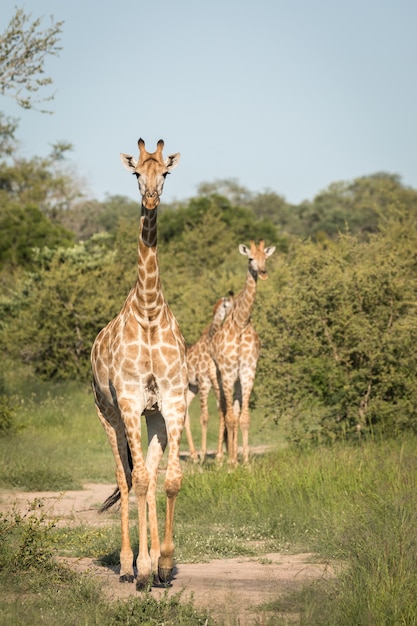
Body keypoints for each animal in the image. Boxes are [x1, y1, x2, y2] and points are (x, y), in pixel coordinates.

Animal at [185, 292, 234, 458]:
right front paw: (204, 454)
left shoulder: (215, 382)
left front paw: (220, 455)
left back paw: (193, 455)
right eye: (228, 305)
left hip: (191, 388)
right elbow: (205, 417)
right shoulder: (204, 381)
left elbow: (221, 411)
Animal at [210, 239, 274, 464]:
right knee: (222, 410)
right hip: (217, 377)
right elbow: (229, 417)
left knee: (235, 412)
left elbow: (244, 417)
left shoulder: (247, 371)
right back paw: (221, 459)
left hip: (236, 380)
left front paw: (245, 462)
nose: (263, 273)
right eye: (250, 258)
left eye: (266, 257)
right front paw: (230, 464)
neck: (240, 323)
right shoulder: (228, 372)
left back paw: (233, 456)